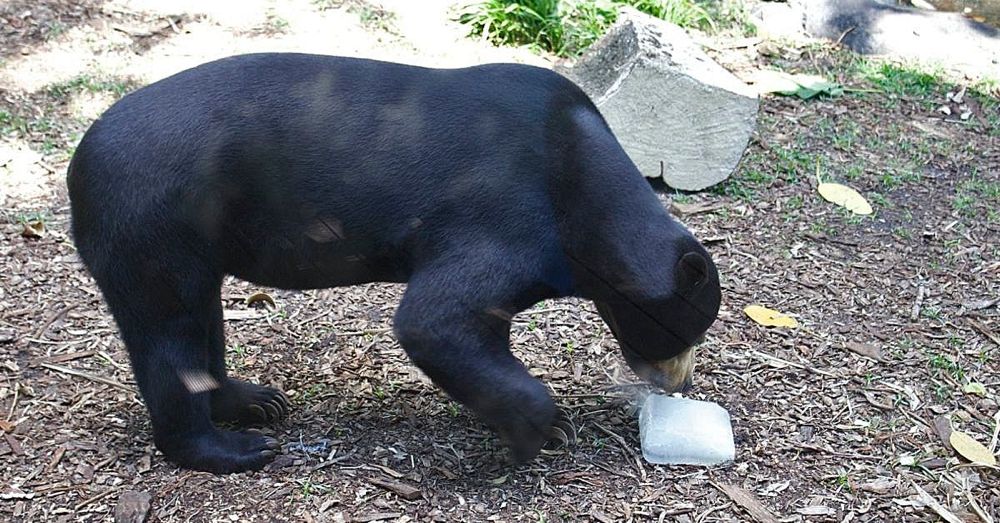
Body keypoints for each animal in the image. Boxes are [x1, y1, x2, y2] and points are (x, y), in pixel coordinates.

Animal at [70, 53, 724, 474]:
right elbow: (436, 320)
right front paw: (540, 430)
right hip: (153, 225)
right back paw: (235, 449)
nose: (680, 384)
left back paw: (255, 401)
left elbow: (474, 332)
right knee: (169, 337)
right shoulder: (504, 213)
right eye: (686, 332)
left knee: (202, 320)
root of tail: (79, 167)